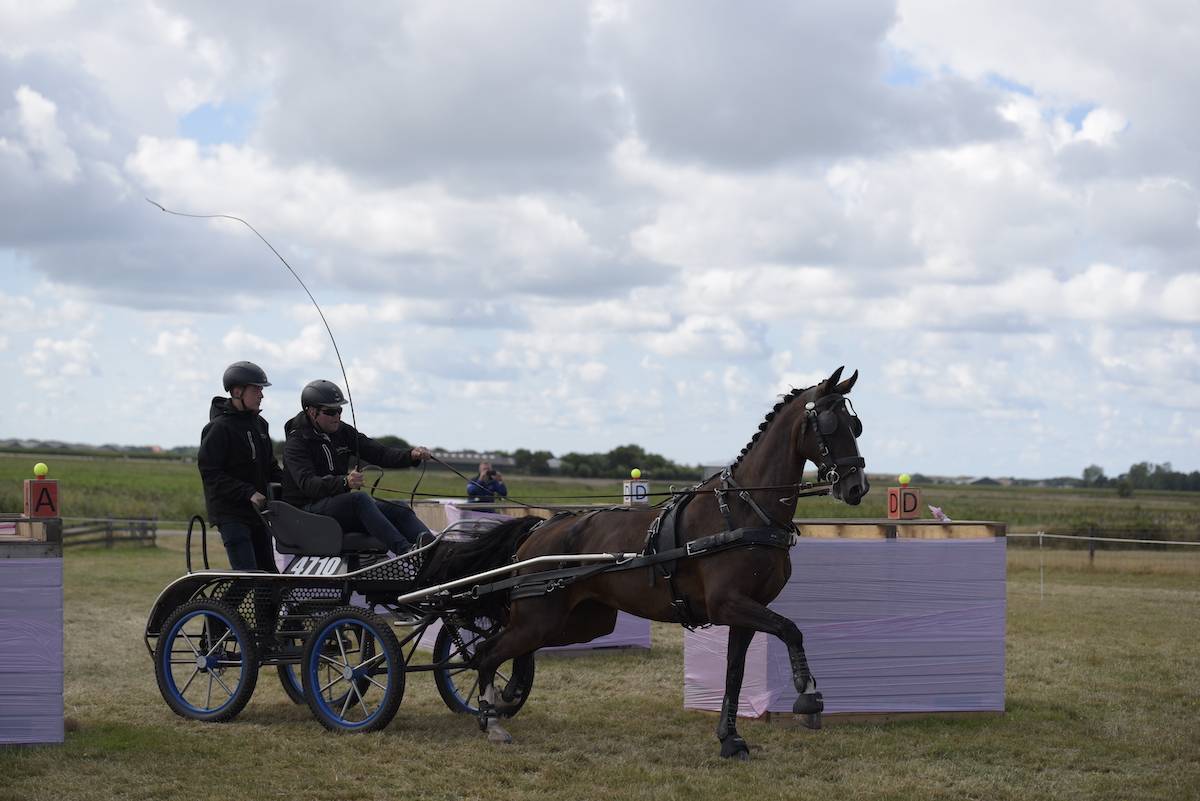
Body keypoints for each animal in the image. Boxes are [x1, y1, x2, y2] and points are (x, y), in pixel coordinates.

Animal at [442, 366, 869, 760]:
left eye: (856, 426)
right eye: (830, 425)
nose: (856, 487)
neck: (745, 510)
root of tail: (541, 528)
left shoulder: (747, 610)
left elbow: (735, 672)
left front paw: (730, 739)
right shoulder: (730, 604)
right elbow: (791, 630)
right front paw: (808, 699)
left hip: (578, 623)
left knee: (514, 649)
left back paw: (507, 694)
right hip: (541, 617)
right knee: (487, 653)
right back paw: (491, 719)